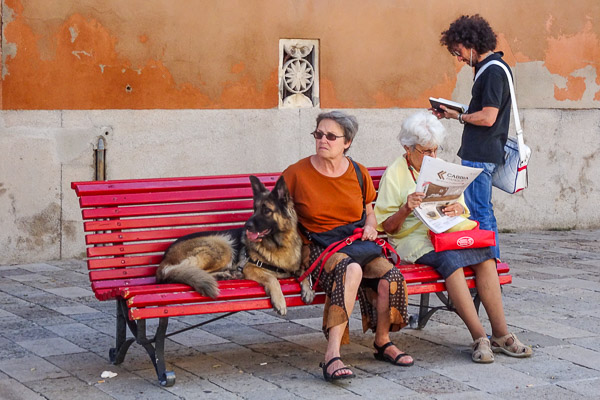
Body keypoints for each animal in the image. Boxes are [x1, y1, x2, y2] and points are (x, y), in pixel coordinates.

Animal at [155, 176, 314, 316]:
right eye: (254, 209)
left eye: (266, 210)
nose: (247, 226)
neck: (279, 244)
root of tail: (165, 258)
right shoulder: (251, 268)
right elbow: (272, 279)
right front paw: (280, 301)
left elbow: (304, 272)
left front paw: (308, 289)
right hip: (222, 245)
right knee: (189, 270)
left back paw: (226, 274)